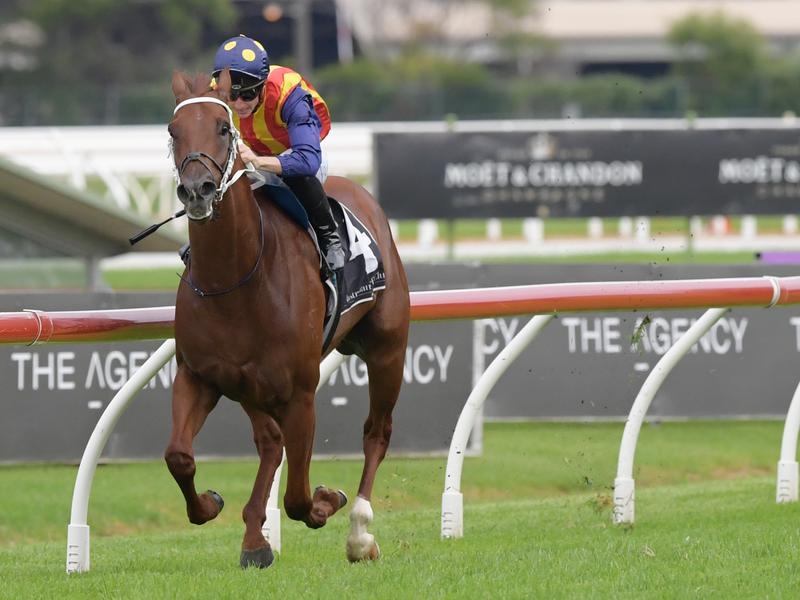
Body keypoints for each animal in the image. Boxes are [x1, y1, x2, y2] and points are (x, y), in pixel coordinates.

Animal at [164, 69, 410, 569]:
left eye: (223, 128)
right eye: (173, 131)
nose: (197, 191)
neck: (237, 279)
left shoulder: (301, 392)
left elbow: (298, 497)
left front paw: (327, 501)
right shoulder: (200, 375)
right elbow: (179, 455)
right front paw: (211, 505)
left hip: (387, 350)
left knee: (376, 433)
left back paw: (359, 532)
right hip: (251, 385)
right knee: (269, 442)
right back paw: (254, 539)